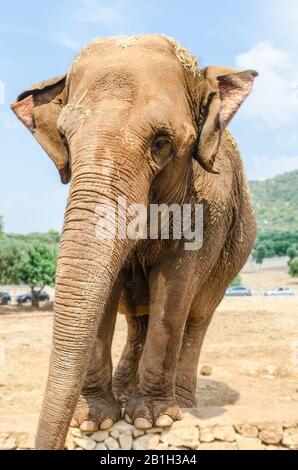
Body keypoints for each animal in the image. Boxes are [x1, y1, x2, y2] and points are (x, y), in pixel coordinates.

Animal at [11, 35, 258, 450]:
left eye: (161, 142)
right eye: (65, 139)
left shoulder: (210, 206)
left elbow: (173, 291)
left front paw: (150, 420)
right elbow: (103, 293)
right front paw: (94, 421)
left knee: (197, 317)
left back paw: (183, 405)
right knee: (138, 321)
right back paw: (127, 393)